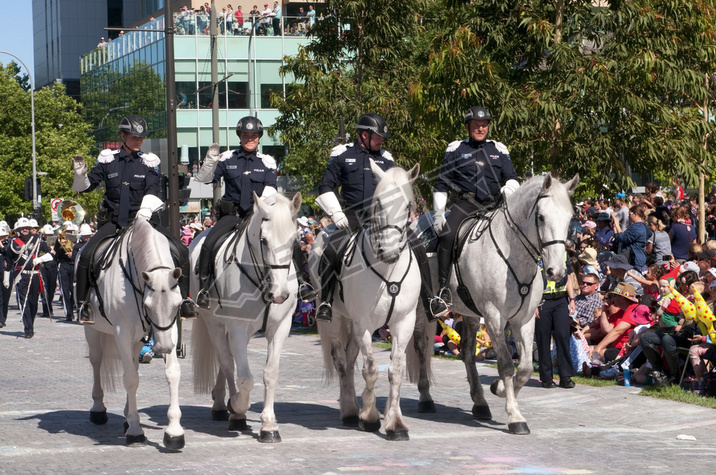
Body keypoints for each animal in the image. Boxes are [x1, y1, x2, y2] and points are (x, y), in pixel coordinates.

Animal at [80, 219, 186, 450]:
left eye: (177, 305)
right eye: (148, 304)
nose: (163, 348)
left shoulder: (170, 329)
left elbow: (171, 373)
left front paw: (174, 432)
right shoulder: (122, 332)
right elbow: (129, 379)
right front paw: (136, 432)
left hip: (138, 337)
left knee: (134, 366)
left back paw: (127, 418)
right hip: (92, 329)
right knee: (97, 360)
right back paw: (99, 409)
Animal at [190, 192, 300, 444]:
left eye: (293, 241)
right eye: (264, 240)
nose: (279, 294)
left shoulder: (280, 328)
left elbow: (270, 374)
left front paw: (269, 426)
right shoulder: (238, 329)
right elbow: (245, 378)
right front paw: (238, 407)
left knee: (226, 362)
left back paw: (221, 404)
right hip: (215, 325)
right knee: (227, 364)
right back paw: (230, 409)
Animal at [310, 163, 422, 442]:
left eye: (407, 206)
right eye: (378, 203)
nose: (389, 251)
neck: (388, 273)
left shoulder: (404, 322)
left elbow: (395, 370)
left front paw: (395, 424)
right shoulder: (364, 324)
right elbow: (370, 368)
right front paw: (369, 417)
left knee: (350, 358)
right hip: (336, 318)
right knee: (341, 359)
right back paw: (351, 411)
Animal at [440, 174, 580, 436]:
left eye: (569, 217)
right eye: (541, 217)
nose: (556, 272)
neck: (512, 255)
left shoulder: (524, 319)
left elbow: (524, 368)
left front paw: (500, 389)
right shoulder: (494, 316)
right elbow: (505, 364)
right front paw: (515, 417)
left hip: (470, 314)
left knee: (467, 352)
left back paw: (480, 403)